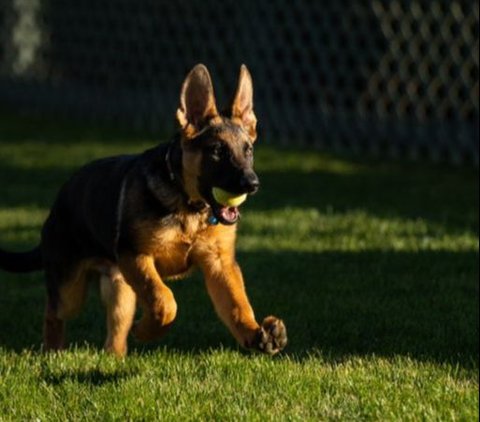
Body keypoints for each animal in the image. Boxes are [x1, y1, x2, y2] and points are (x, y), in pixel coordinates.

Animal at [0, 64, 284, 356]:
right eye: (216, 150)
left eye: (248, 151)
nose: (252, 184)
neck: (188, 206)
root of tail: (58, 202)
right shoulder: (137, 256)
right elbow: (165, 299)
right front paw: (148, 331)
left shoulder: (219, 265)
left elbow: (238, 305)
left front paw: (257, 334)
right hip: (71, 288)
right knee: (53, 312)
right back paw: (53, 351)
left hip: (121, 289)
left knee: (115, 331)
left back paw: (114, 357)